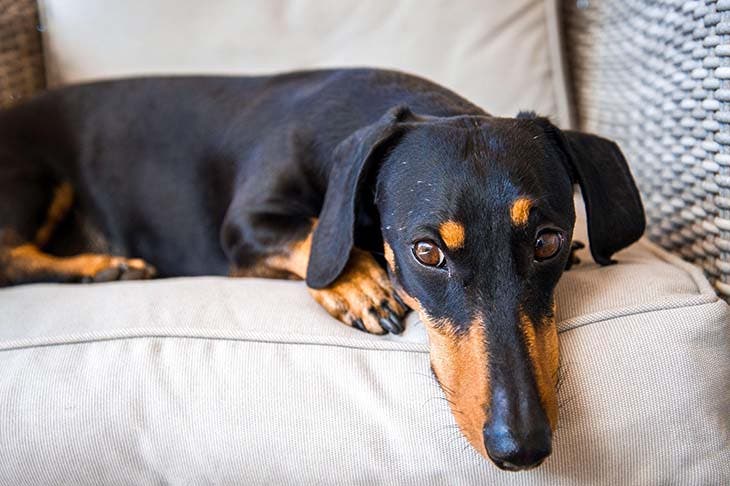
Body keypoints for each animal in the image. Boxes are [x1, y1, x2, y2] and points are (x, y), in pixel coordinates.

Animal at [0, 68, 644, 470]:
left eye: (547, 242)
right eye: (426, 252)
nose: (523, 446)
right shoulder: (246, 227)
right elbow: (313, 238)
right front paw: (359, 284)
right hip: (30, 173)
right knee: (9, 257)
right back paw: (101, 268)